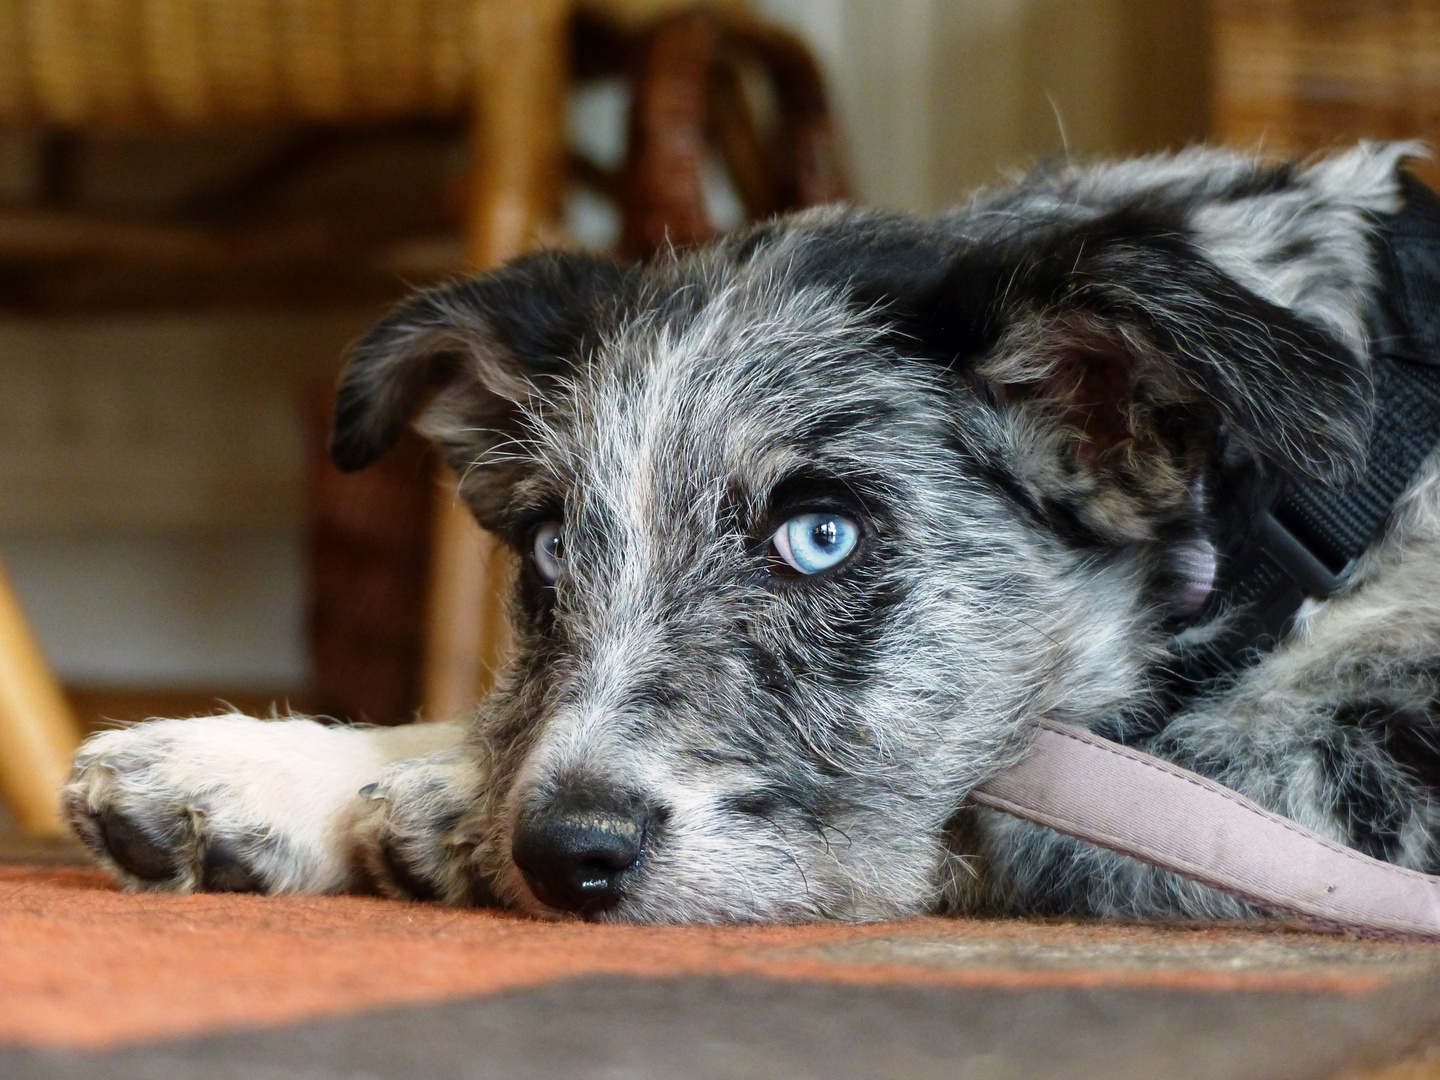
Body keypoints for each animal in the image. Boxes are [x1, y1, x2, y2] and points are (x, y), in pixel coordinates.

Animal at [61, 139, 1440, 927]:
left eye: (820, 537)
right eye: (549, 550)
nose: (566, 853)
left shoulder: (1360, 780)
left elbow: (1015, 806)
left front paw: (420, 801)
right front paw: (255, 771)